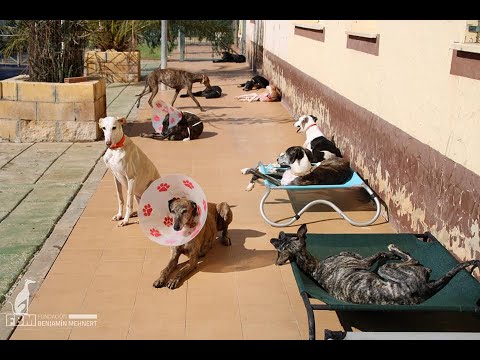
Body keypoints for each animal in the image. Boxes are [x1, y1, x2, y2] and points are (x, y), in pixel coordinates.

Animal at [270, 225, 480, 304]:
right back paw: (394, 249)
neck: (313, 268)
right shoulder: (364, 262)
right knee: (415, 262)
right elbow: (378, 254)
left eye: (281, 243)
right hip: (387, 269)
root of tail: (423, 289)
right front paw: (388, 253)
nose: (274, 238)